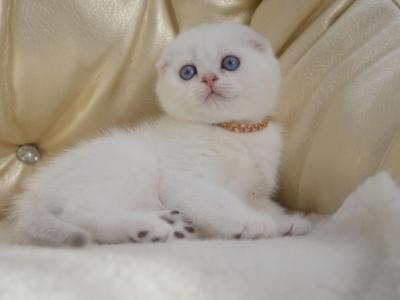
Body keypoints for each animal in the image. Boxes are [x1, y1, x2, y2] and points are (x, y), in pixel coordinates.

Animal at [11, 22, 312, 246]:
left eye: (230, 63)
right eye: (188, 72)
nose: (208, 78)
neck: (234, 132)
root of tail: (33, 193)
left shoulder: (256, 192)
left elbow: (266, 205)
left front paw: (288, 221)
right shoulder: (184, 179)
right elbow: (219, 199)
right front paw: (250, 222)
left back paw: (173, 223)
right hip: (129, 161)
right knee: (79, 209)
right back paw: (146, 228)